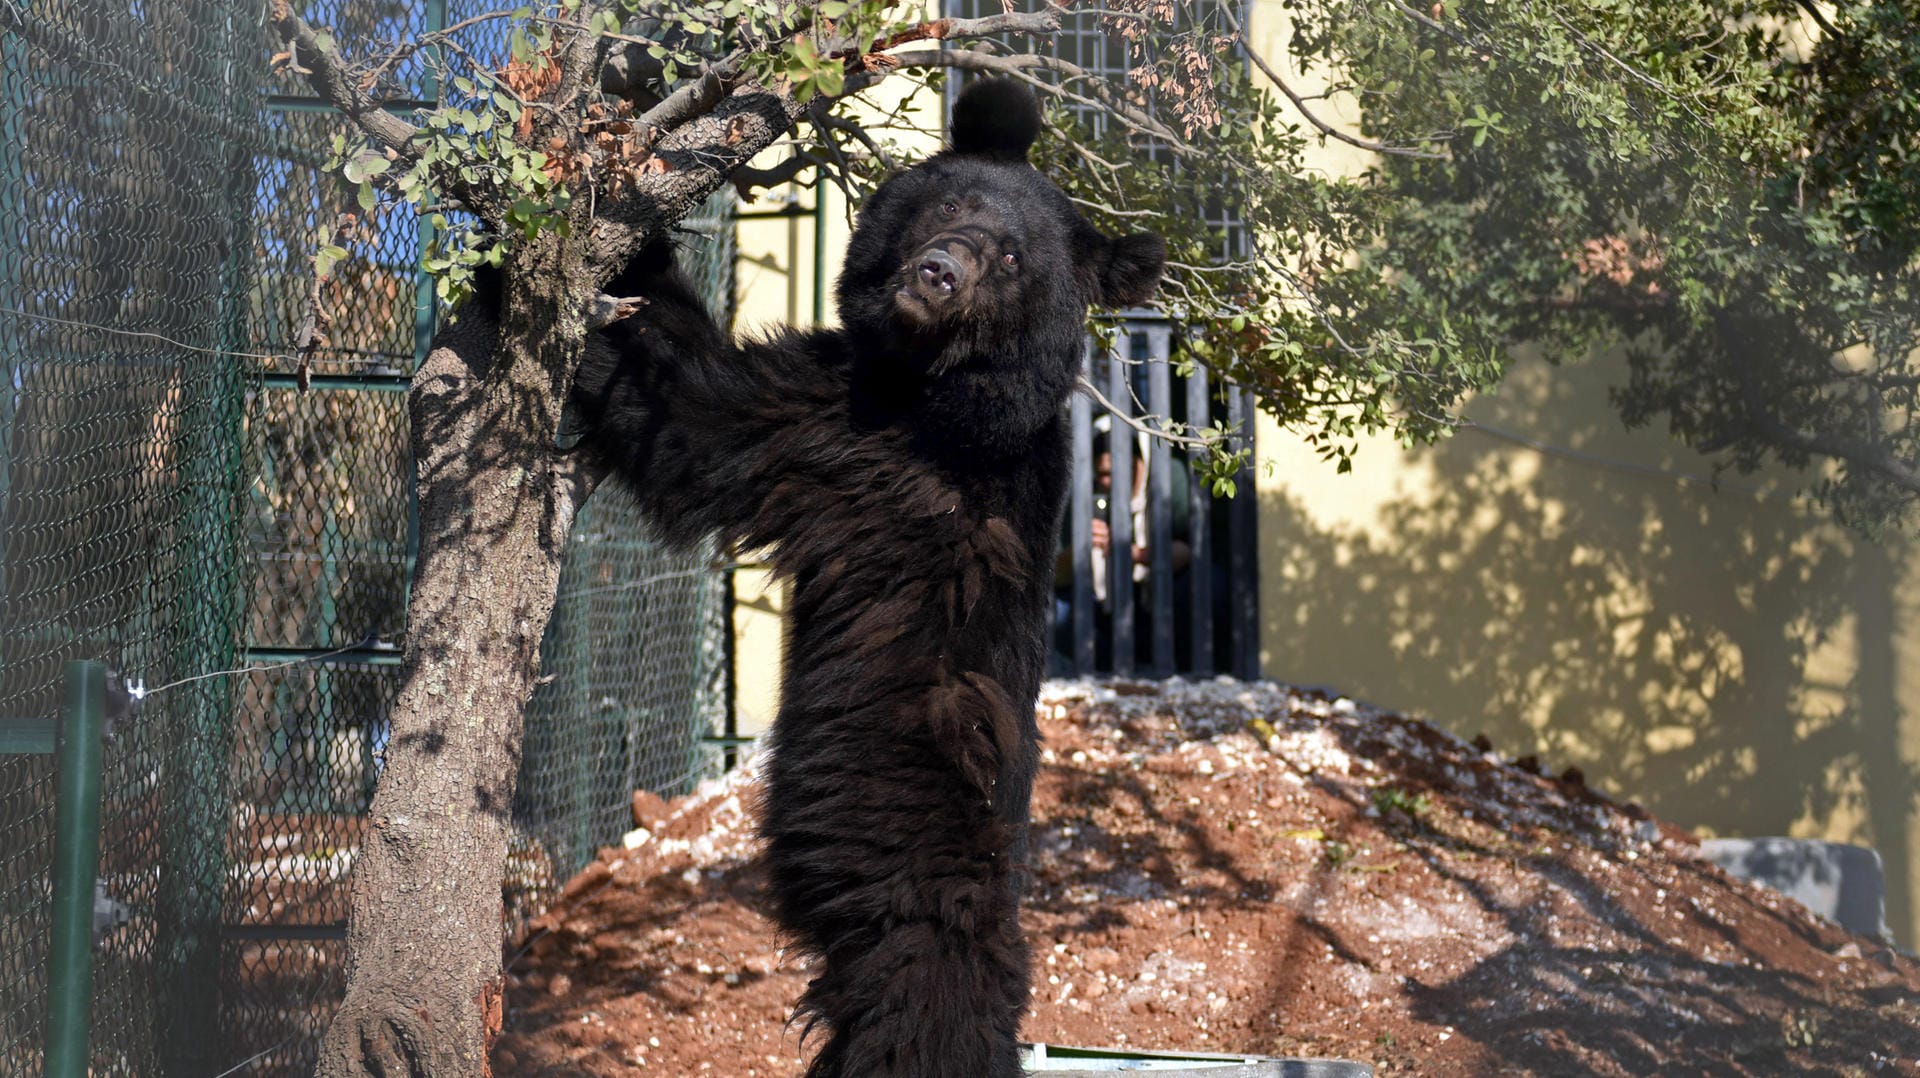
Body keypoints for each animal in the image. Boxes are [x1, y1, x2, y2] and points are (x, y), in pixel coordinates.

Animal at [572, 79, 1167, 1068]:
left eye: (1012, 256)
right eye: (953, 207)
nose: (938, 273)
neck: (920, 391)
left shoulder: (875, 455)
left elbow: (692, 413)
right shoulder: (836, 397)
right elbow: (680, 403)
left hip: (907, 893)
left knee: (919, 1015)